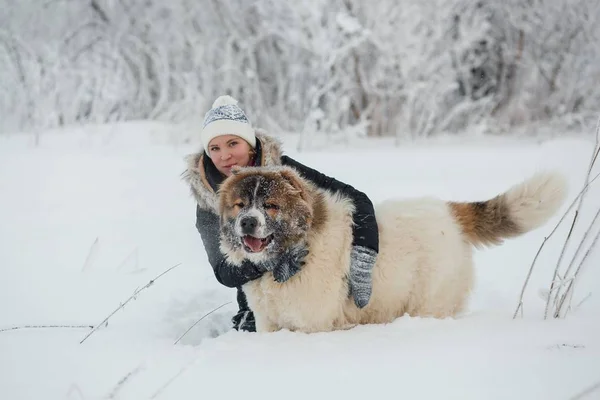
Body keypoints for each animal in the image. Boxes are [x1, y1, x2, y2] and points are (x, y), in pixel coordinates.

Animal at [217, 166, 568, 334]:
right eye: (240, 204)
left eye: (271, 205)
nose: (247, 222)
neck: (293, 252)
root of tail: (449, 211)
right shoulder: (268, 323)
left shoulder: (313, 325)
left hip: (429, 302)